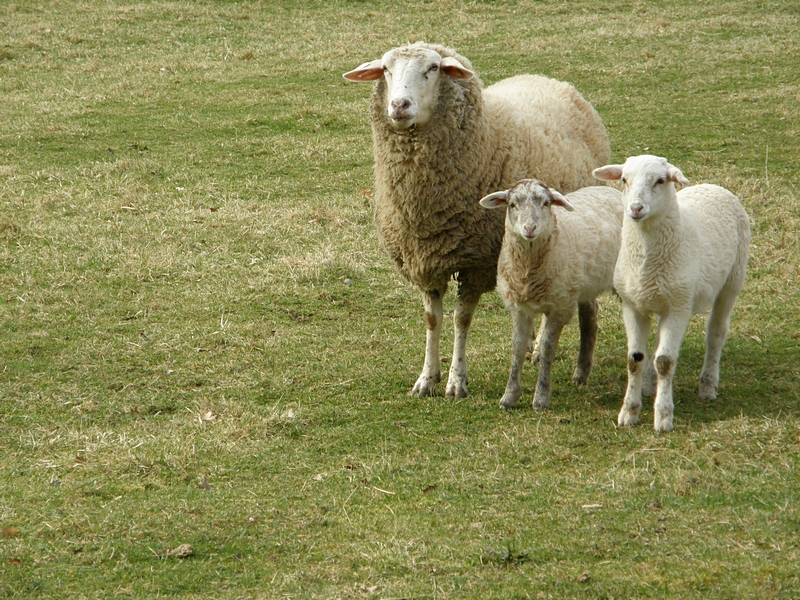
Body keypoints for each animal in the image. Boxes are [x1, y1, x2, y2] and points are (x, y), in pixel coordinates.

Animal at [344, 42, 612, 398]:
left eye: (433, 68)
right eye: (386, 69)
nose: (399, 105)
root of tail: (549, 79)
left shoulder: (476, 262)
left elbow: (461, 320)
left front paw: (457, 380)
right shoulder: (426, 259)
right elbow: (432, 320)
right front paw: (427, 378)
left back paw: (552, 353)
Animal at [482, 180, 624, 410]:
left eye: (546, 203)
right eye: (512, 204)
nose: (530, 229)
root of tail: (611, 190)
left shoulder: (559, 305)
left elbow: (547, 348)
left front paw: (541, 397)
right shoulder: (519, 307)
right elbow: (517, 347)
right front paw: (509, 396)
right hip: (583, 283)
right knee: (590, 318)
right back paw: (581, 373)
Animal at [592, 155, 752, 432]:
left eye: (660, 180)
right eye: (623, 179)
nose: (635, 208)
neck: (646, 259)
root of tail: (714, 186)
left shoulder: (679, 307)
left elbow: (665, 362)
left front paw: (664, 416)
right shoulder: (632, 305)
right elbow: (634, 360)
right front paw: (629, 412)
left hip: (732, 280)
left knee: (716, 333)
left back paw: (708, 385)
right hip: (660, 298)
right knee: (656, 344)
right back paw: (649, 385)